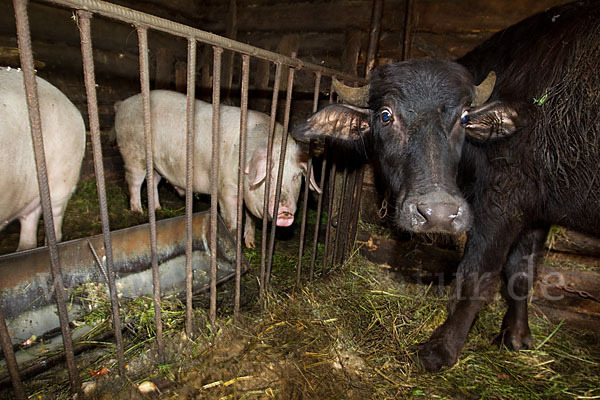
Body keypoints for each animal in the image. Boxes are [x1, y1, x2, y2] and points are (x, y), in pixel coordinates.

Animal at [113, 90, 318, 247]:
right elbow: (233, 222)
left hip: (154, 163)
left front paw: (251, 244)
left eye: (296, 177)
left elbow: (250, 218)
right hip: (133, 150)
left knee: (153, 181)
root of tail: (123, 104)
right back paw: (138, 211)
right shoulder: (225, 189)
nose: (285, 211)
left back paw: (157, 208)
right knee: (134, 181)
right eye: (268, 176)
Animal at [294, 0, 600, 372]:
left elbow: (476, 276)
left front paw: (440, 349)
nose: (437, 214)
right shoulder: (536, 209)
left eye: (464, 118)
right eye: (385, 115)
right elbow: (521, 272)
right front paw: (515, 337)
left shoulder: (503, 199)